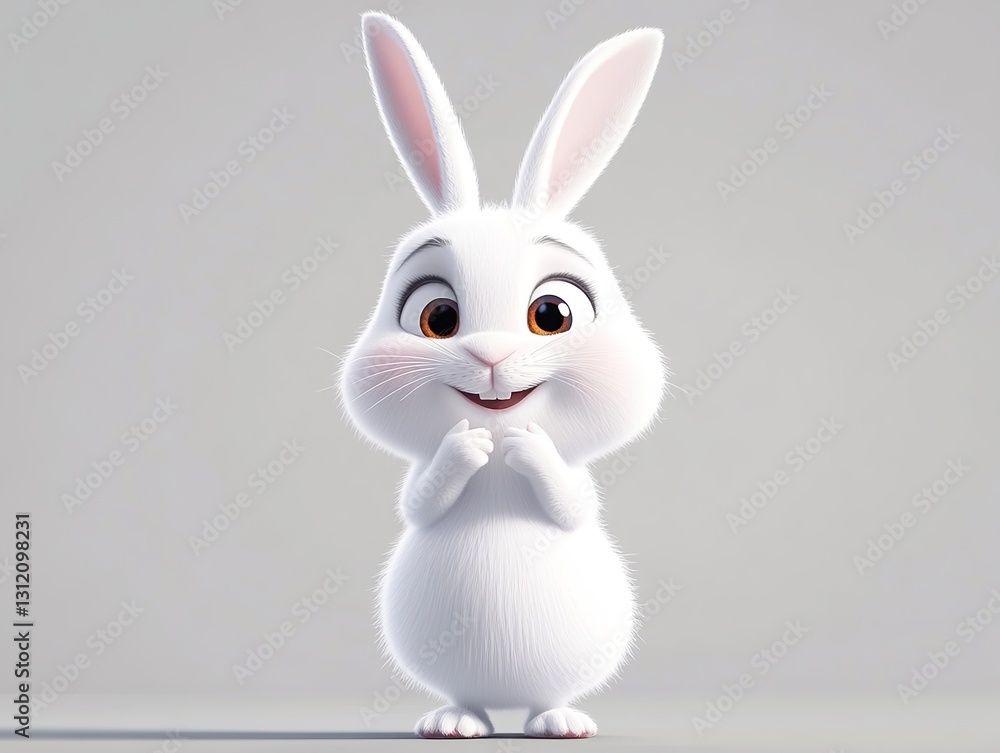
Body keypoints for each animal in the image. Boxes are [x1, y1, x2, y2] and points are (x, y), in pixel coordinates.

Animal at [339, 11, 666, 739]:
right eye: (438, 317)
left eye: (552, 314)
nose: (490, 354)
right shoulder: (419, 486)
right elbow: (420, 501)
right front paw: (467, 448)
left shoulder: (578, 486)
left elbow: (573, 503)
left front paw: (524, 446)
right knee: (467, 697)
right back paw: (457, 720)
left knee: (549, 695)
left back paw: (558, 720)